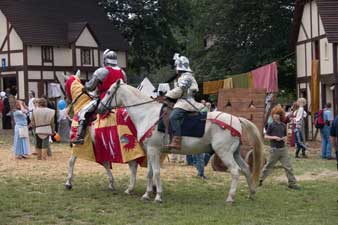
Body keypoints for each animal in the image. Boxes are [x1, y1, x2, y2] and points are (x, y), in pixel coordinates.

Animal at [97, 81, 264, 204]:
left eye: (110, 92)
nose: (99, 108)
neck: (147, 114)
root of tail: (236, 120)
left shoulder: (154, 150)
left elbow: (156, 172)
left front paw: (158, 196)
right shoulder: (151, 151)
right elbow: (150, 173)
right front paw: (146, 194)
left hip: (224, 153)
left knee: (236, 171)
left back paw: (230, 198)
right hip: (235, 153)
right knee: (246, 169)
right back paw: (251, 193)